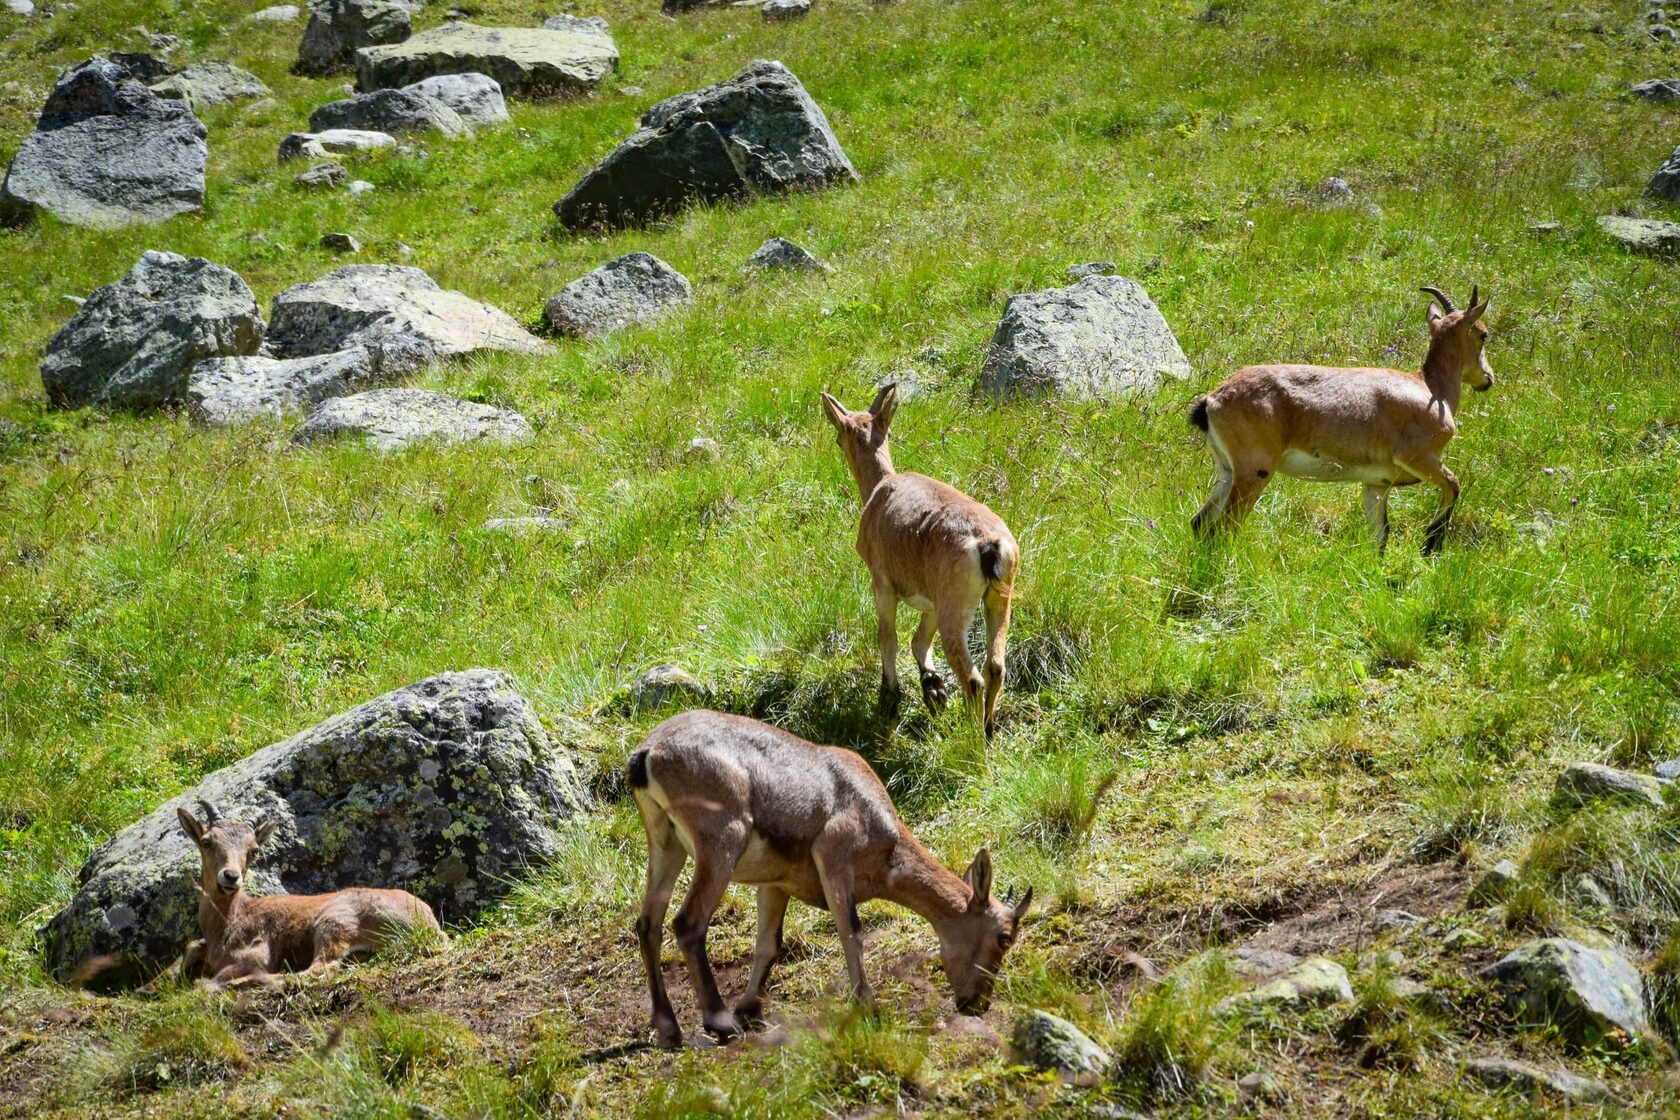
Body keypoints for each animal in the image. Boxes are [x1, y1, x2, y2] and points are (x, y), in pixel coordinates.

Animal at [174, 795, 443, 987]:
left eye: (253, 850)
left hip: (334, 921)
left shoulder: (260, 951)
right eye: (207, 841)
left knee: (318, 970)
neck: (229, 919)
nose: (231, 876)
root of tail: (429, 926)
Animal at [624, 715, 1028, 1047]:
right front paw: (869, 1008)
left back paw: (669, 1028)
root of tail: (648, 753)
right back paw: (719, 1021)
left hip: (667, 843)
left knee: (648, 924)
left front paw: (750, 1010)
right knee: (688, 923)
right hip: (721, 841)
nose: (977, 1003)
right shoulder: (834, 855)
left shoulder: (775, 884)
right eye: (1004, 937)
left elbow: (769, 944)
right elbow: (851, 931)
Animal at [816, 387, 1014, 745]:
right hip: (997, 599)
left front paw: (889, 696)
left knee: (973, 678)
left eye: (840, 436)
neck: (879, 490)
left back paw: (971, 738)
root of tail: (988, 545)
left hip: (955, 607)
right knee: (995, 666)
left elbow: (888, 637)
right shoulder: (931, 600)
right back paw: (989, 728)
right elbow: (919, 641)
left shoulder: (882, 583)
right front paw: (933, 688)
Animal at [1189, 287, 1491, 554]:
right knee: (1224, 526)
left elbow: (1380, 537)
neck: (1430, 389)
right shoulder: (1418, 457)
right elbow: (1453, 483)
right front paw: (1430, 544)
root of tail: (1213, 399)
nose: (1487, 378)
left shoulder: (1377, 484)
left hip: (1227, 471)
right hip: (1254, 472)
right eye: (1483, 334)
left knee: (1200, 522)